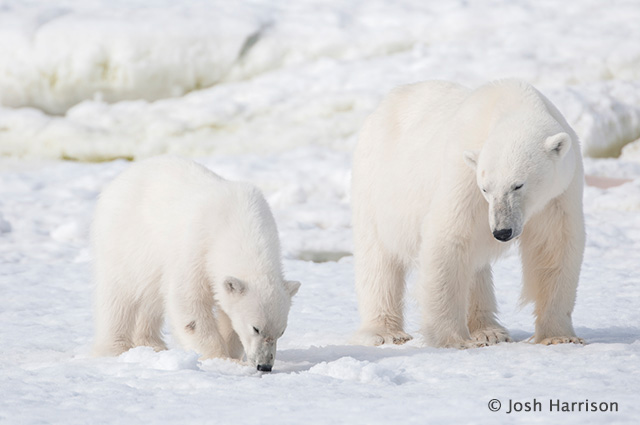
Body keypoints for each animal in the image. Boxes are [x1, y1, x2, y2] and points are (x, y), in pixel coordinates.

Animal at [92, 157, 300, 372]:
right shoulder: (197, 247)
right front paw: (219, 357)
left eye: (281, 331)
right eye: (256, 328)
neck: (239, 224)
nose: (264, 366)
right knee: (117, 294)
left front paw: (232, 353)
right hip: (124, 239)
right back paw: (115, 348)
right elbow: (189, 303)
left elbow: (227, 311)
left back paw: (152, 344)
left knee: (151, 298)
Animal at [352, 79, 588, 348]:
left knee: (475, 268)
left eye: (518, 185)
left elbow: (555, 245)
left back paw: (489, 330)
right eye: (486, 188)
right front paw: (454, 339)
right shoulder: (463, 173)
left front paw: (559, 336)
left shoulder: (561, 190)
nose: (502, 231)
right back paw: (384, 332)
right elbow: (449, 238)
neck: (509, 102)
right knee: (378, 258)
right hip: (375, 181)